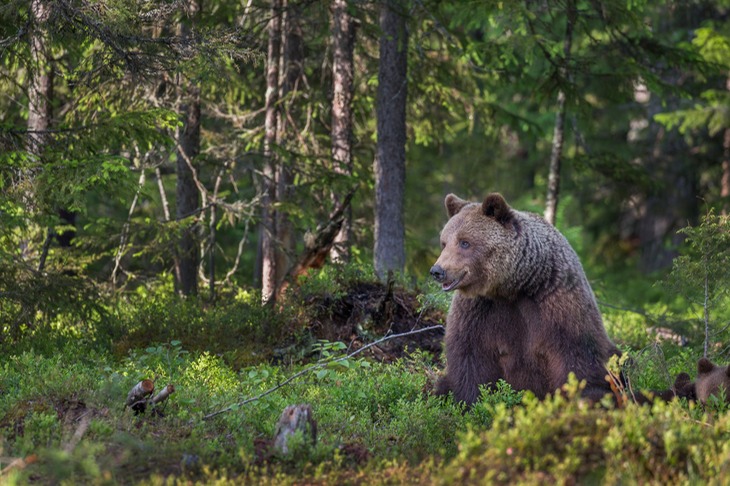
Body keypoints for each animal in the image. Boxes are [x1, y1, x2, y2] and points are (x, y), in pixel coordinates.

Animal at [426, 192, 620, 404]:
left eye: (464, 242)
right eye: (444, 242)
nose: (437, 271)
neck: (513, 287)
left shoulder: (557, 302)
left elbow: (576, 355)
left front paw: (583, 397)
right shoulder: (478, 310)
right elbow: (469, 356)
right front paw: (469, 400)